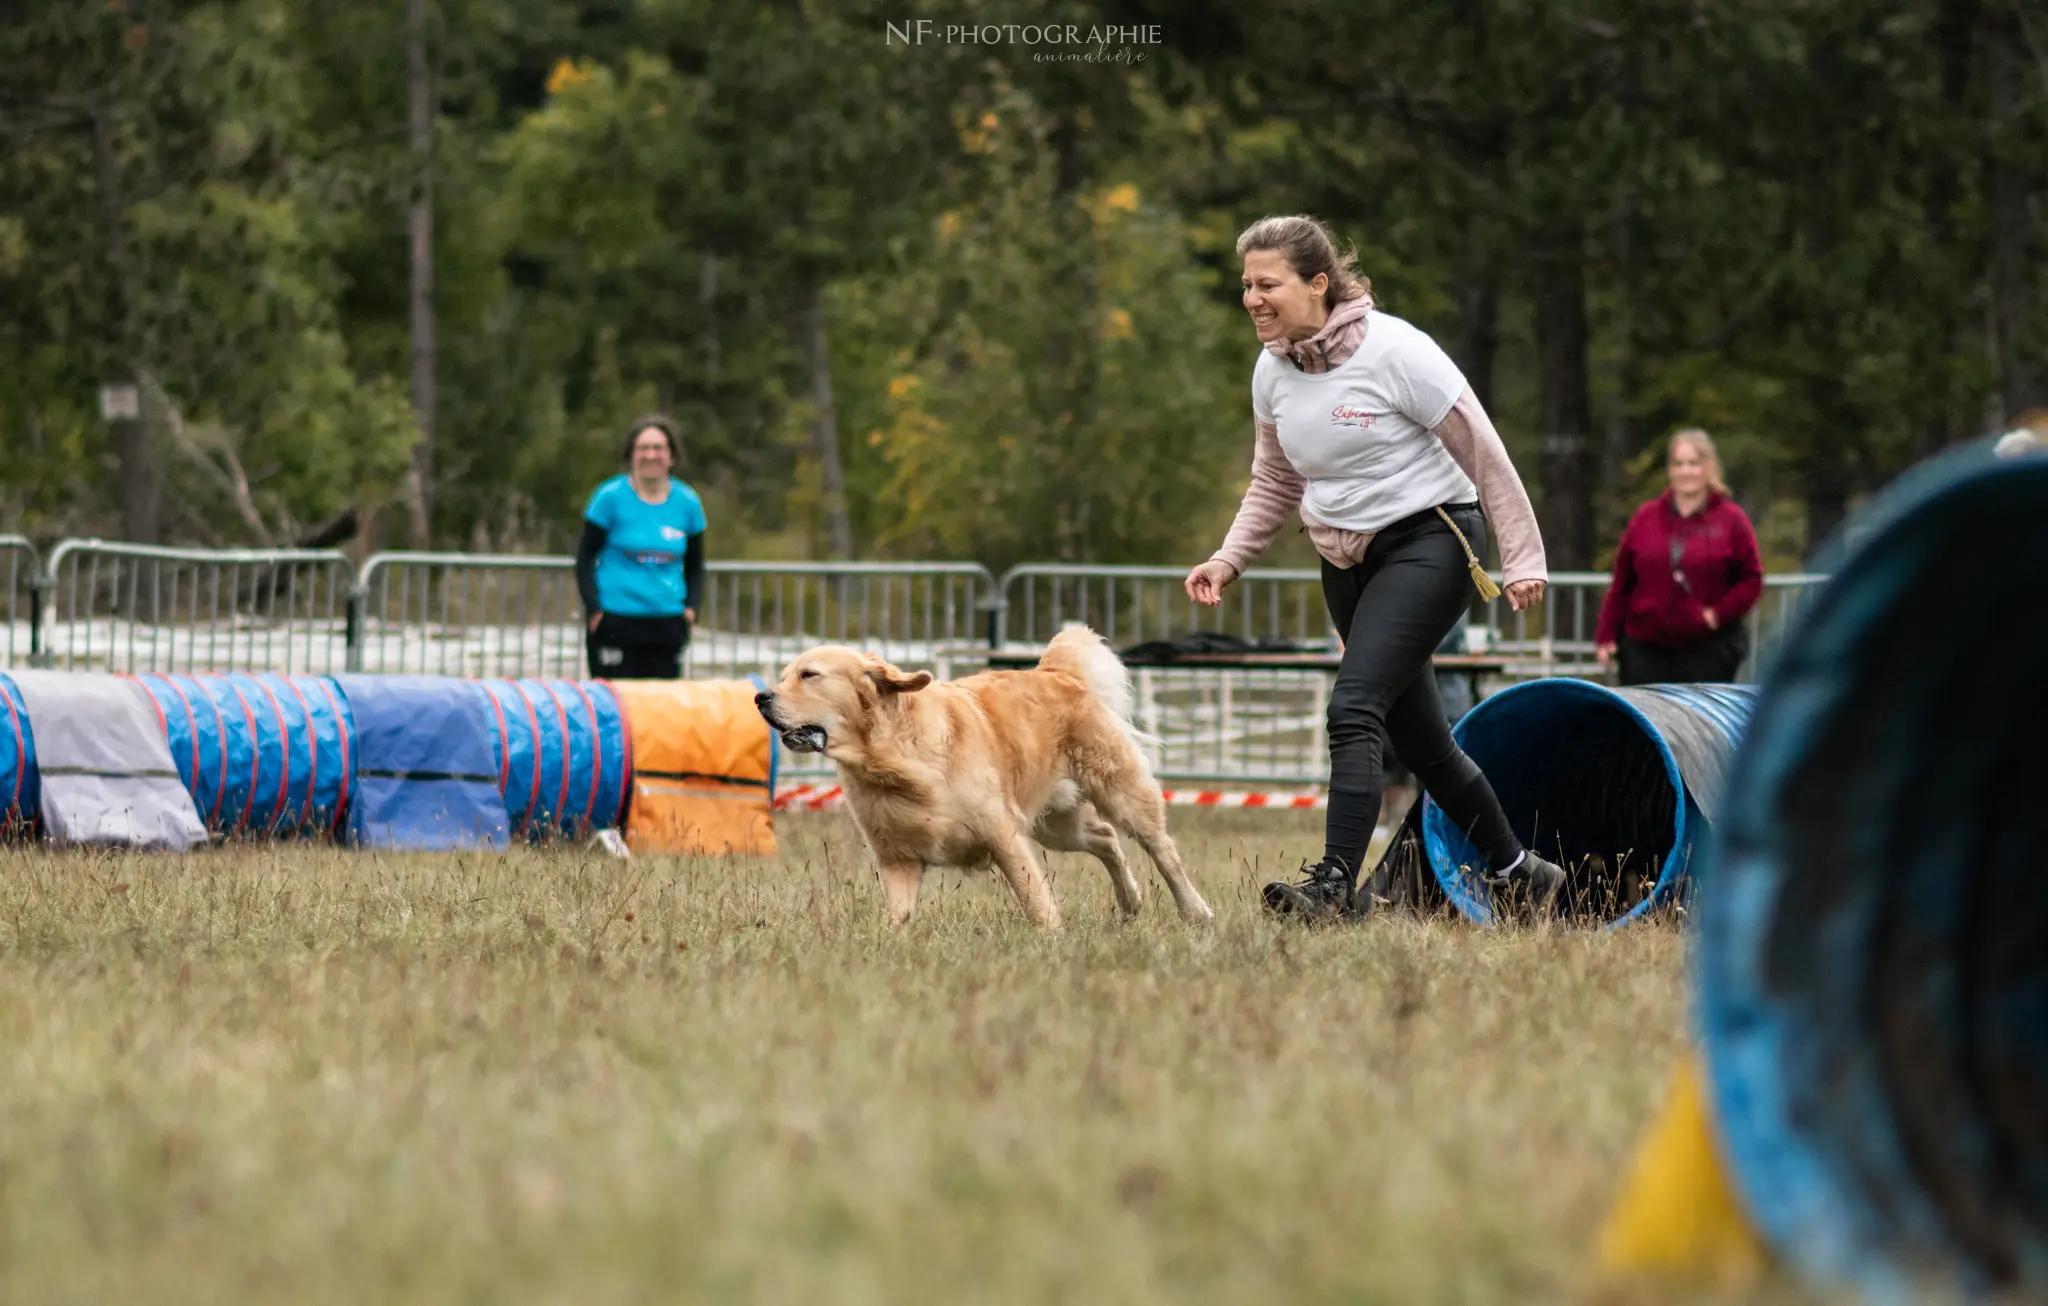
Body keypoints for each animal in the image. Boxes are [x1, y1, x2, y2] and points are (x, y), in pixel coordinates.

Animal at [765, 622, 1212, 933]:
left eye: (809, 675)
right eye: (785, 675)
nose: (760, 697)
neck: (892, 759)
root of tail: (1056, 671)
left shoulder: (1003, 835)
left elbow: (1035, 898)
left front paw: (1052, 938)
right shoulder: (897, 858)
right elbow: (897, 916)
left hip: (1121, 793)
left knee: (1163, 851)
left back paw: (1196, 912)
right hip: (1056, 825)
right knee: (1106, 839)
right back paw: (1130, 902)